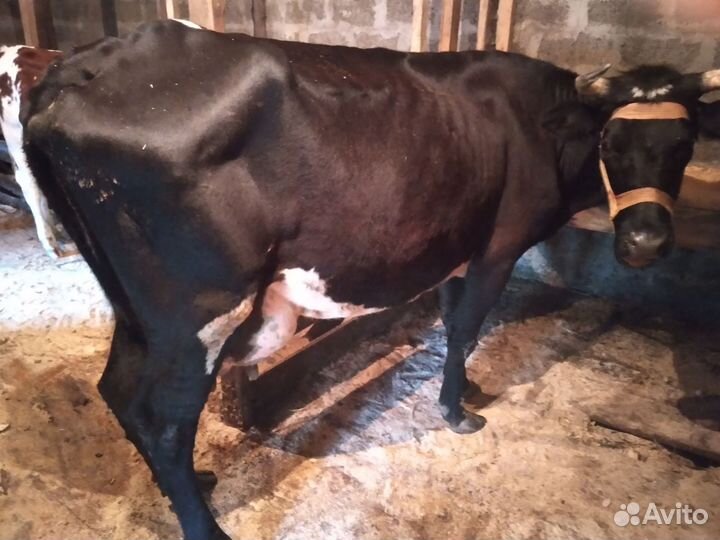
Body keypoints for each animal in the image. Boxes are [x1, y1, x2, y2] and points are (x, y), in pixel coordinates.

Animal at [21, 20, 720, 540]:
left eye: (683, 143)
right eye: (611, 142)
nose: (646, 242)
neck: (538, 125)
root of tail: (90, 64)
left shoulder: (455, 246)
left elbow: (452, 320)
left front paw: (464, 392)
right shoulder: (498, 248)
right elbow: (465, 331)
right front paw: (457, 412)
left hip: (138, 310)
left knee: (118, 391)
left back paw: (196, 487)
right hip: (200, 311)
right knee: (163, 421)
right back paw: (204, 524)